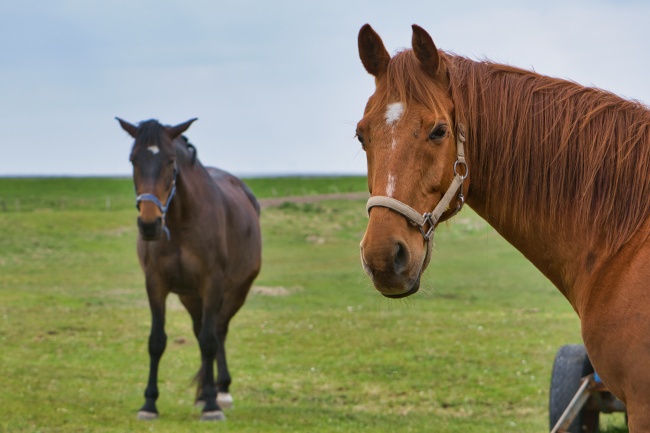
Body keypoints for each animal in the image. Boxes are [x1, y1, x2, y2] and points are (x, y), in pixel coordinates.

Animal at [116, 117, 260, 418]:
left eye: (171, 160)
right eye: (133, 159)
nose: (150, 224)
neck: (182, 221)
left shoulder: (212, 283)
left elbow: (209, 341)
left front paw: (212, 406)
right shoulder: (155, 283)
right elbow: (157, 341)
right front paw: (149, 403)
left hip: (236, 291)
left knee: (218, 331)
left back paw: (221, 391)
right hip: (190, 296)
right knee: (201, 330)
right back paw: (205, 391)